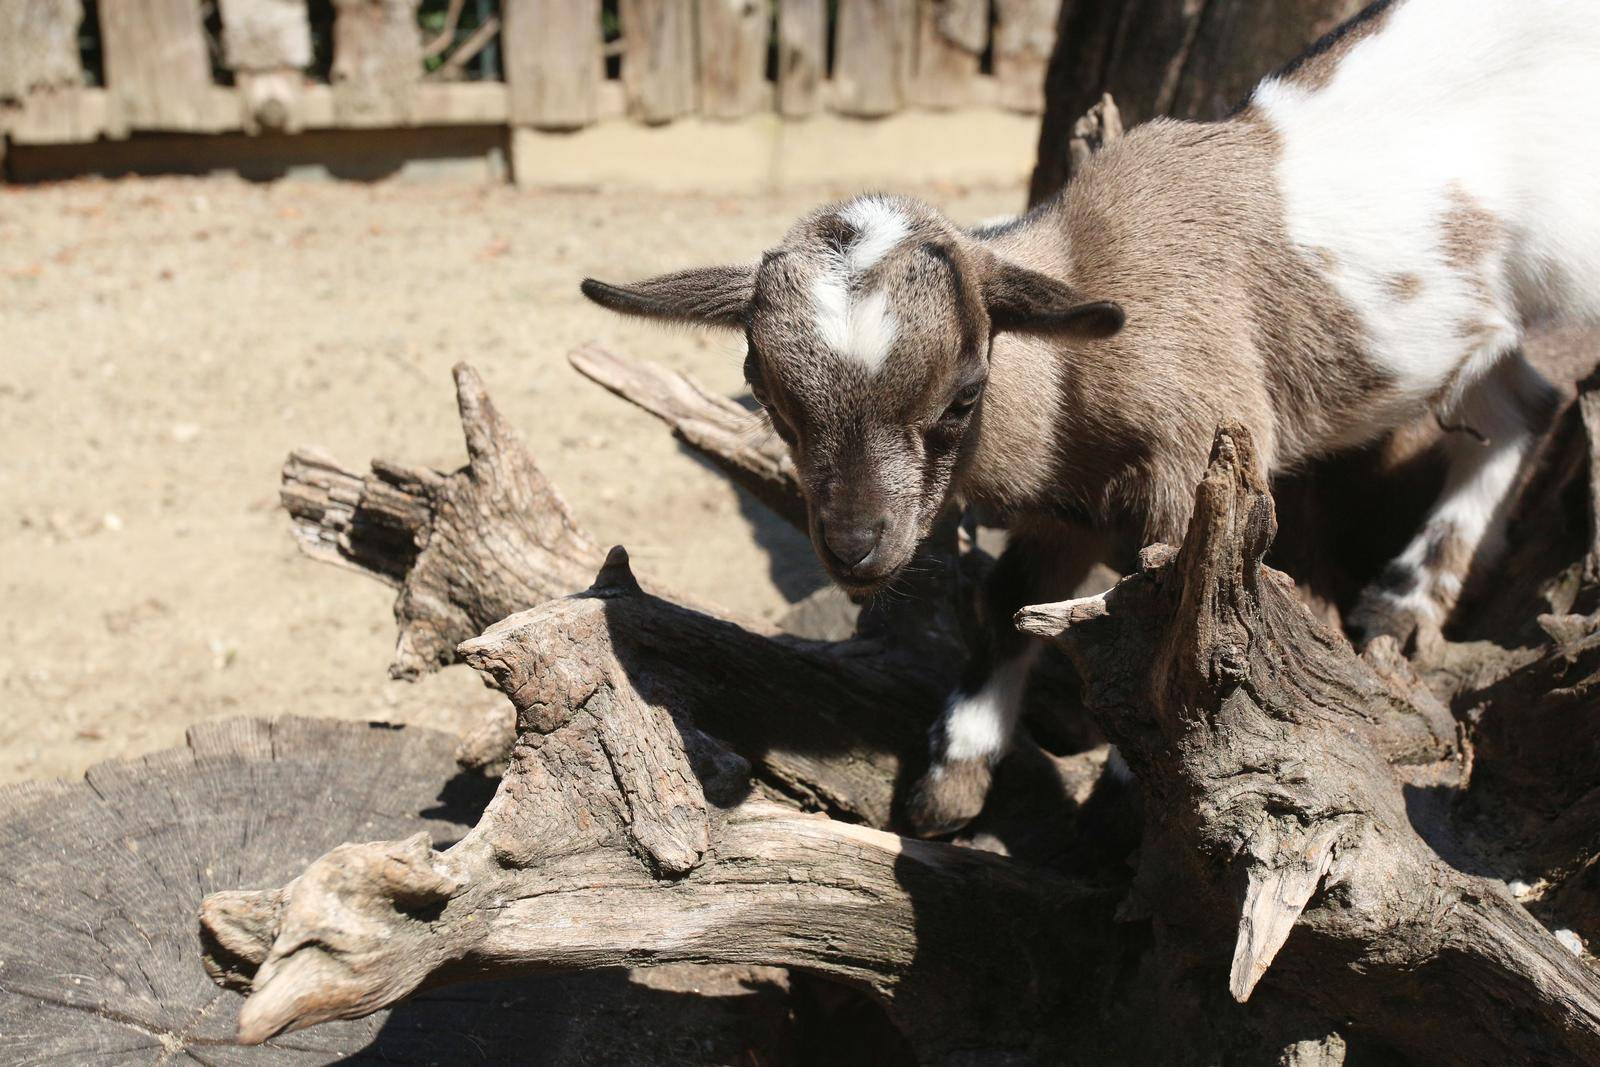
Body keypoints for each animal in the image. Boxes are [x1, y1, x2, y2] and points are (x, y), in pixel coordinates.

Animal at [582, 0, 1593, 831]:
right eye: (768, 396)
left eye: (964, 393)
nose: (856, 546)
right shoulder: (1066, 505)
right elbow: (1008, 597)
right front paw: (953, 776)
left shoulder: (1201, 460)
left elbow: (1174, 639)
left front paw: (1128, 782)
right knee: (1523, 403)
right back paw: (1407, 596)